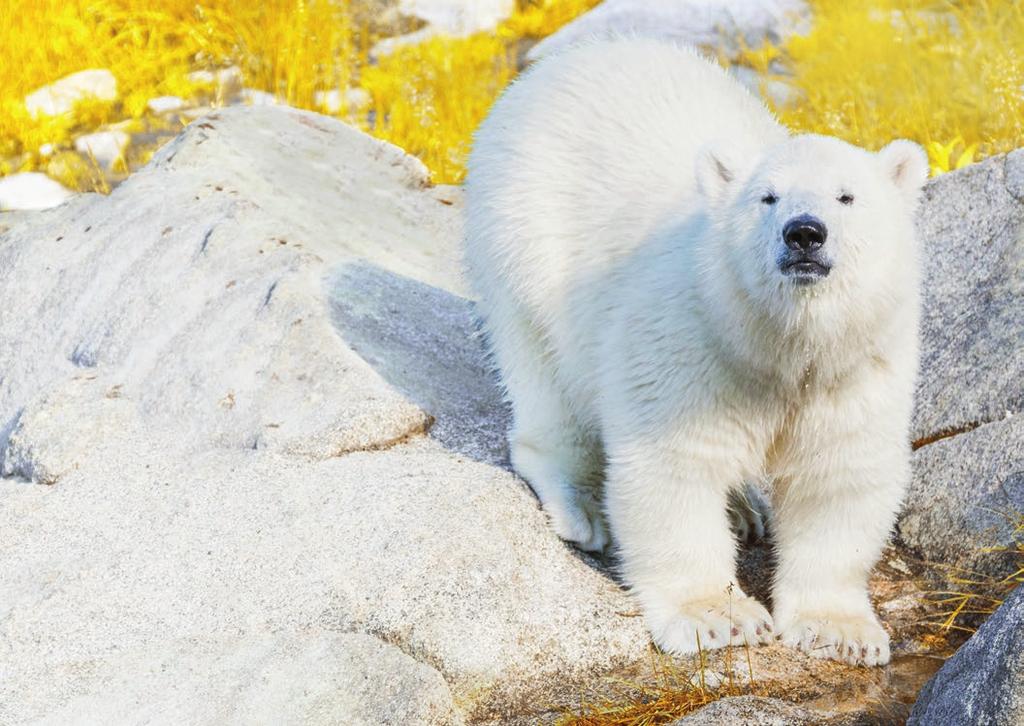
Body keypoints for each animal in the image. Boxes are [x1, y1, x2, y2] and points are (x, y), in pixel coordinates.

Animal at [464, 36, 929, 663]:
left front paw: (841, 633)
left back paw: (745, 511)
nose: (805, 232)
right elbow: (674, 466)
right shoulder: (686, 342)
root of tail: (558, 64)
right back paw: (582, 505)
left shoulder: (854, 366)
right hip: (525, 241)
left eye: (846, 196)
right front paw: (717, 618)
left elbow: (839, 472)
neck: (775, 341)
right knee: (546, 379)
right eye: (767, 198)